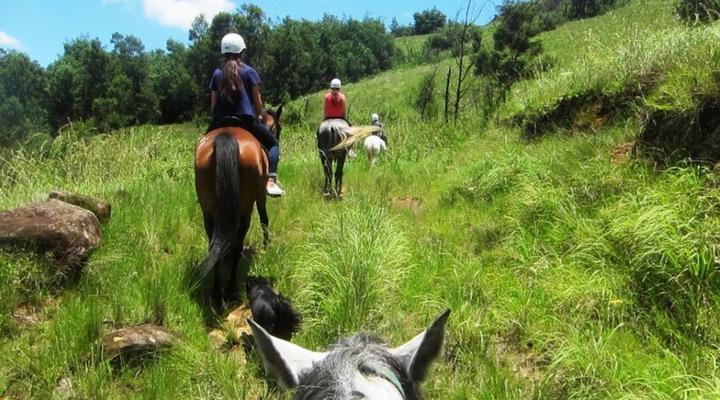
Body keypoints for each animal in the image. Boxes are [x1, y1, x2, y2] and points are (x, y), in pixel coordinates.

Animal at [194, 107, 282, 308]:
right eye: (278, 129)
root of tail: (226, 136)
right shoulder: (260, 194)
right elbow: (264, 218)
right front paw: (267, 245)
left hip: (208, 209)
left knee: (213, 243)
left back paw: (217, 293)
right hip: (245, 208)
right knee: (237, 243)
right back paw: (231, 290)